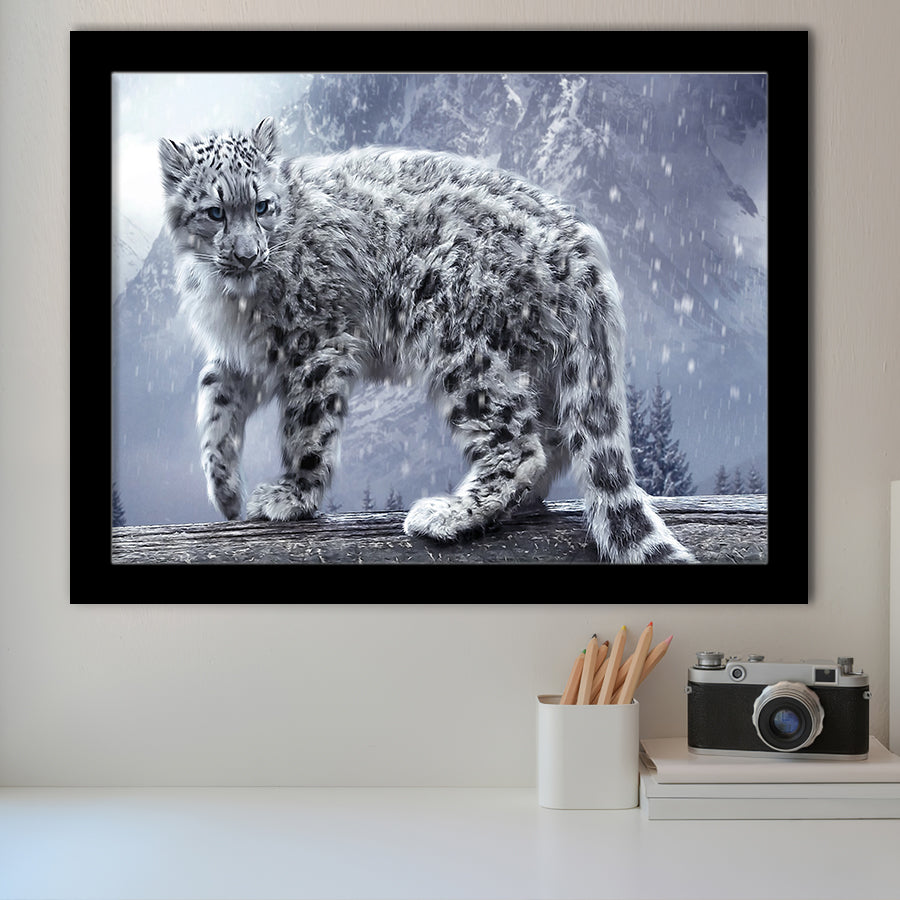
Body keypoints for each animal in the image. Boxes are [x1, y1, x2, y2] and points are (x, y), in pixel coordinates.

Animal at [158, 117, 694, 563]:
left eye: (262, 205)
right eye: (214, 212)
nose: (247, 255)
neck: (233, 300)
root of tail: (580, 246)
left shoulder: (316, 343)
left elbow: (305, 427)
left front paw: (291, 496)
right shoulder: (243, 355)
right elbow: (214, 401)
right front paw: (225, 492)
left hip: (465, 347)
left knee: (521, 442)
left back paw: (448, 515)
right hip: (537, 360)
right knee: (556, 435)